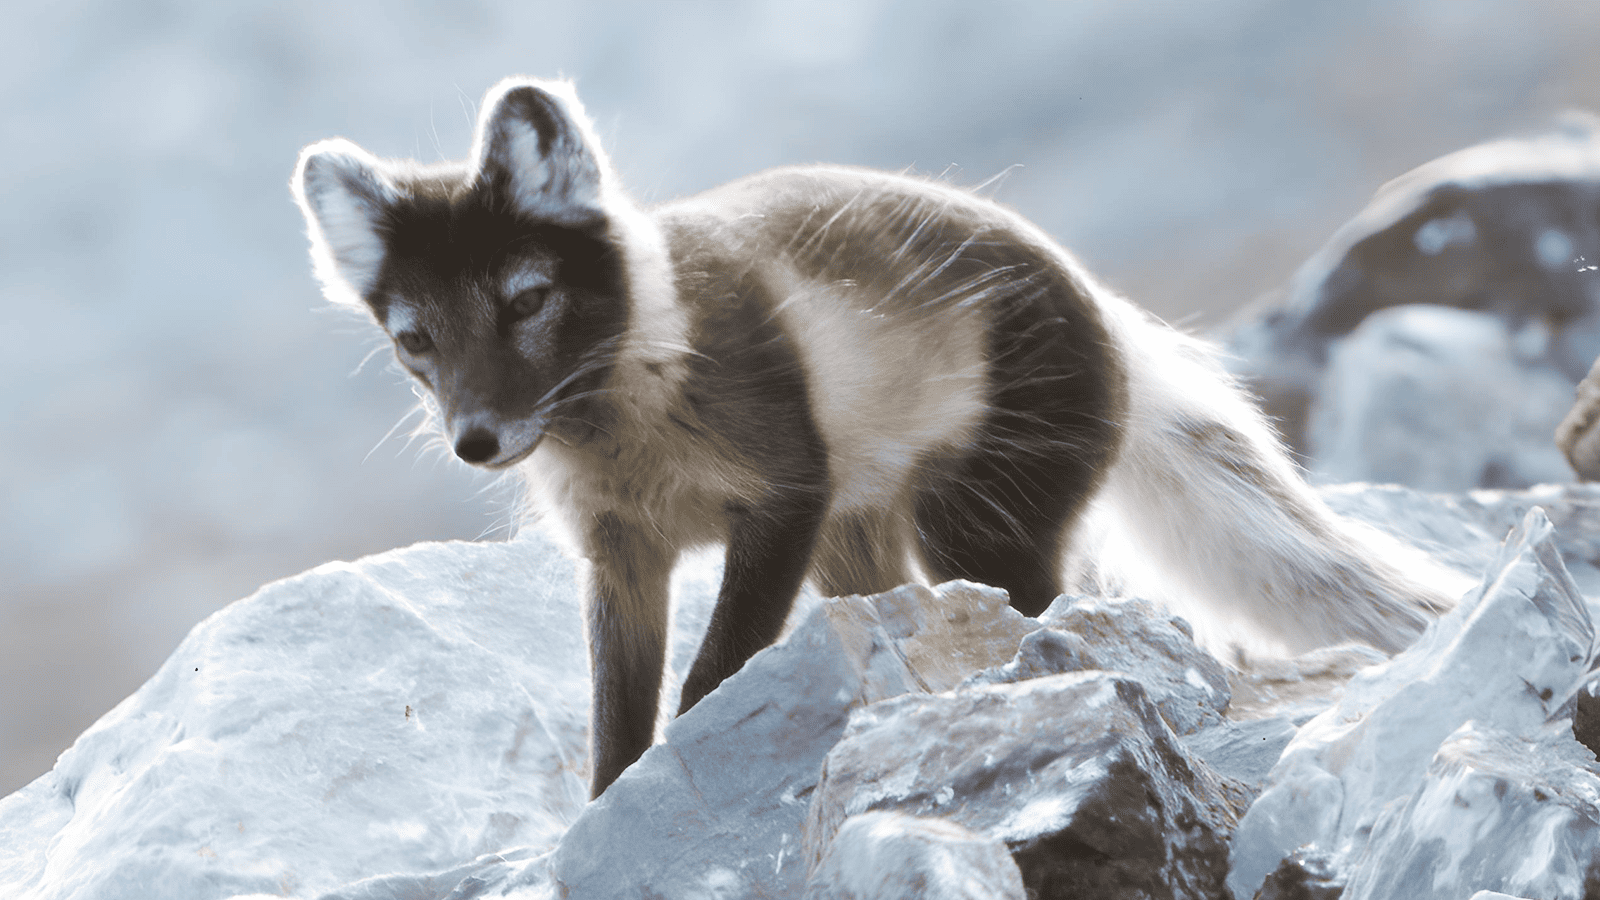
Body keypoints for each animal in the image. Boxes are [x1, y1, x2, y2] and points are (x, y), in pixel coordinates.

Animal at [292, 77, 1453, 798]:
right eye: (415, 340)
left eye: (527, 300)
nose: (477, 442)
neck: (631, 413)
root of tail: (1103, 304)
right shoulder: (620, 557)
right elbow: (616, 717)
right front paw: (609, 806)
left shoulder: (782, 499)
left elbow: (708, 681)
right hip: (862, 554)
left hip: (970, 527)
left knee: (1066, 609)